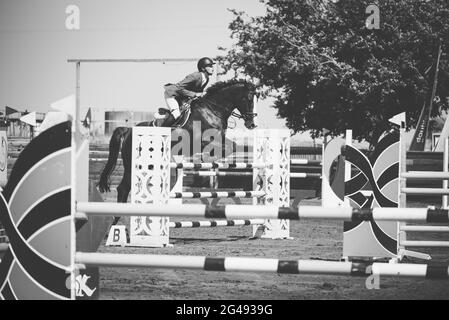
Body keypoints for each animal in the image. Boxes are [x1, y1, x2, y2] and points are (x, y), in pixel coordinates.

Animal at [98, 79, 258, 224]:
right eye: (249, 99)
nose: (251, 124)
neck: (211, 111)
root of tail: (128, 130)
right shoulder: (200, 141)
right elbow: (221, 148)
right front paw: (206, 158)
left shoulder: (221, 138)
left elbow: (232, 146)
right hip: (133, 164)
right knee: (123, 188)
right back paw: (117, 220)